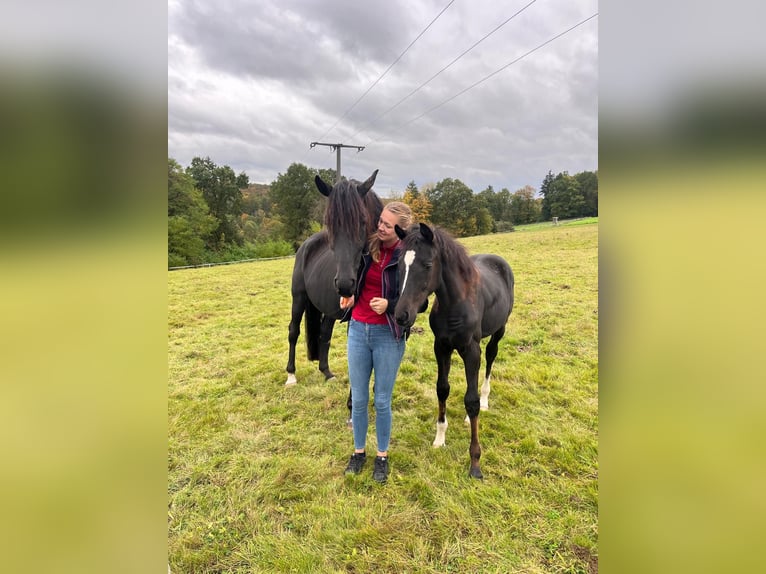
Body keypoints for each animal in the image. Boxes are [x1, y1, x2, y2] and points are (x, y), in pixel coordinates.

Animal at [285, 170, 383, 418]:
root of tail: (306, 245)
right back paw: (290, 375)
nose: (346, 284)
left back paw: (326, 372)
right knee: (293, 331)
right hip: (298, 299)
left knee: (324, 335)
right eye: (330, 223)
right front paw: (352, 405)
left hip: (328, 310)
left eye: (363, 222)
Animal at [393, 222, 514, 479]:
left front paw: (475, 463)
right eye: (399, 265)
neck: (455, 304)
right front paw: (440, 438)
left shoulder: (471, 350)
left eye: (428, 265)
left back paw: (485, 400)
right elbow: (442, 389)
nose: (401, 315)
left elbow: (471, 400)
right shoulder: (441, 347)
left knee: (490, 358)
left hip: (498, 331)